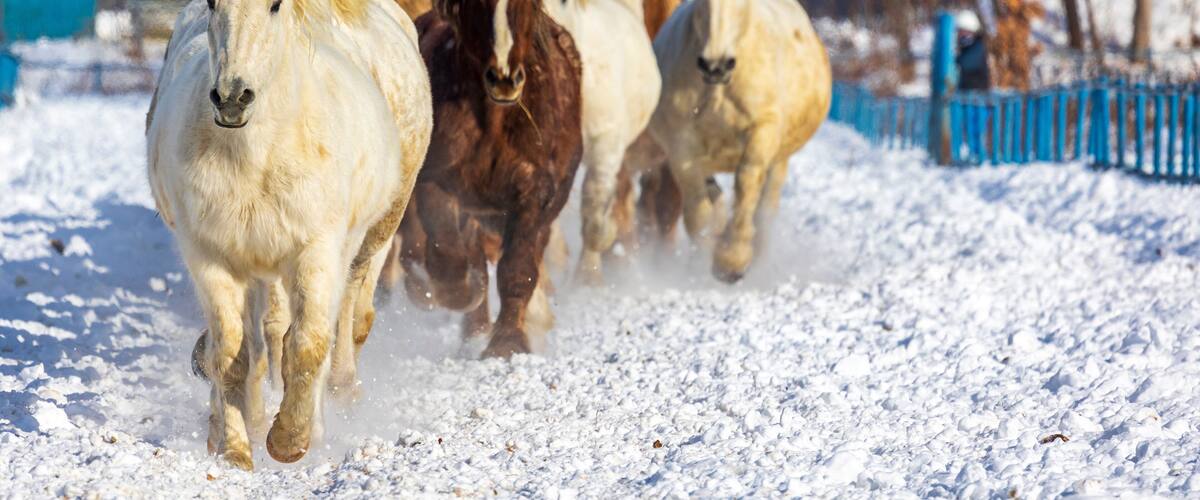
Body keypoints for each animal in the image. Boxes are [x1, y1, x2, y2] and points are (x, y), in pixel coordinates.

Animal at [147, 0, 431, 469]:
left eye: (275, 5)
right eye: (211, 3)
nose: (232, 98)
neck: (254, 155)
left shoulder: (316, 251)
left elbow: (308, 343)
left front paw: (290, 439)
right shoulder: (210, 256)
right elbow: (232, 352)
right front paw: (234, 449)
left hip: (364, 239)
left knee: (335, 319)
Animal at [401, 0, 583, 357]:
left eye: (527, 6)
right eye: (475, 5)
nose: (504, 80)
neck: (495, 123)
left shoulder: (533, 192)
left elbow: (517, 268)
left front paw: (507, 343)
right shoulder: (437, 181)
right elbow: (448, 254)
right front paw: (462, 292)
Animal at [647, 0, 831, 282]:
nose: (715, 65)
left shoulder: (762, 130)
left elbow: (747, 186)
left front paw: (732, 262)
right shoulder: (681, 144)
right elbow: (698, 212)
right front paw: (704, 260)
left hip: (780, 157)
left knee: (766, 207)